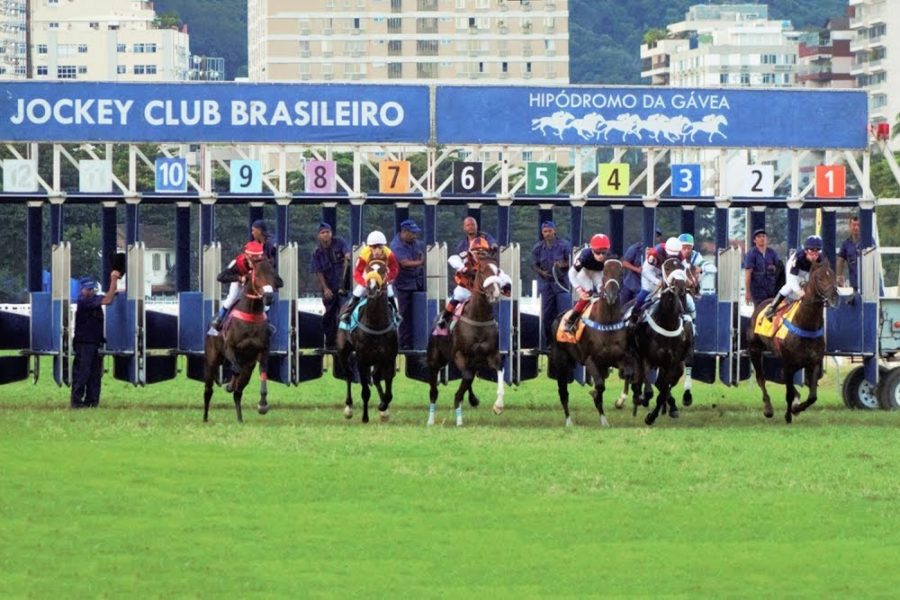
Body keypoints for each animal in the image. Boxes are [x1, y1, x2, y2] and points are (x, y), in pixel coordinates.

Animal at [205, 256, 282, 422]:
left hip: (248, 366)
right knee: (208, 390)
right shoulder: (229, 348)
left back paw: (240, 419)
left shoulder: (263, 351)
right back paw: (205, 418)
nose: (269, 297)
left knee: (238, 392)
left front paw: (263, 405)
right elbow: (235, 369)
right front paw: (229, 384)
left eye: (274, 276)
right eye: (257, 276)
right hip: (211, 360)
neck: (251, 315)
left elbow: (263, 373)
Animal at [334, 260, 398, 424]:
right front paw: (365, 417)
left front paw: (383, 407)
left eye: (383, 271)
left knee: (375, 377)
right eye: (368, 269)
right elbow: (365, 391)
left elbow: (389, 392)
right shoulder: (361, 359)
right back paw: (349, 408)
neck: (376, 324)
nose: (372, 288)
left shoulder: (389, 358)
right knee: (348, 375)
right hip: (343, 351)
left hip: (378, 360)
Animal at [428, 256, 510, 426]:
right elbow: (465, 379)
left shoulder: (492, 355)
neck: (478, 318)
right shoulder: (460, 354)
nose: (495, 292)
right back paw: (430, 420)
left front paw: (498, 406)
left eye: (498, 272)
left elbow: (499, 372)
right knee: (433, 391)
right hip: (434, 360)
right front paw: (459, 415)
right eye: (483, 272)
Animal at [544, 258, 628, 426]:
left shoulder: (617, 359)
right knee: (563, 392)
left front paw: (619, 401)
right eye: (604, 274)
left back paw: (604, 421)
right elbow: (599, 386)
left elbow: (626, 374)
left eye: (621, 274)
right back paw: (569, 422)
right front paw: (594, 392)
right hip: (561, 361)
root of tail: (558, 318)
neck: (606, 322)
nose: (611, 296)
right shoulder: (590, 360)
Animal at [628, 258, 692, 426]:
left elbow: (662, 393)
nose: (680, 285)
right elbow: (649, 389)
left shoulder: (672, 364)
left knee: (663, 386)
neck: (666, 322)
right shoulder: (646, 358)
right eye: (667, 267)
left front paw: (651, 416)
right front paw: (643, 399)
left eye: (681, 267)